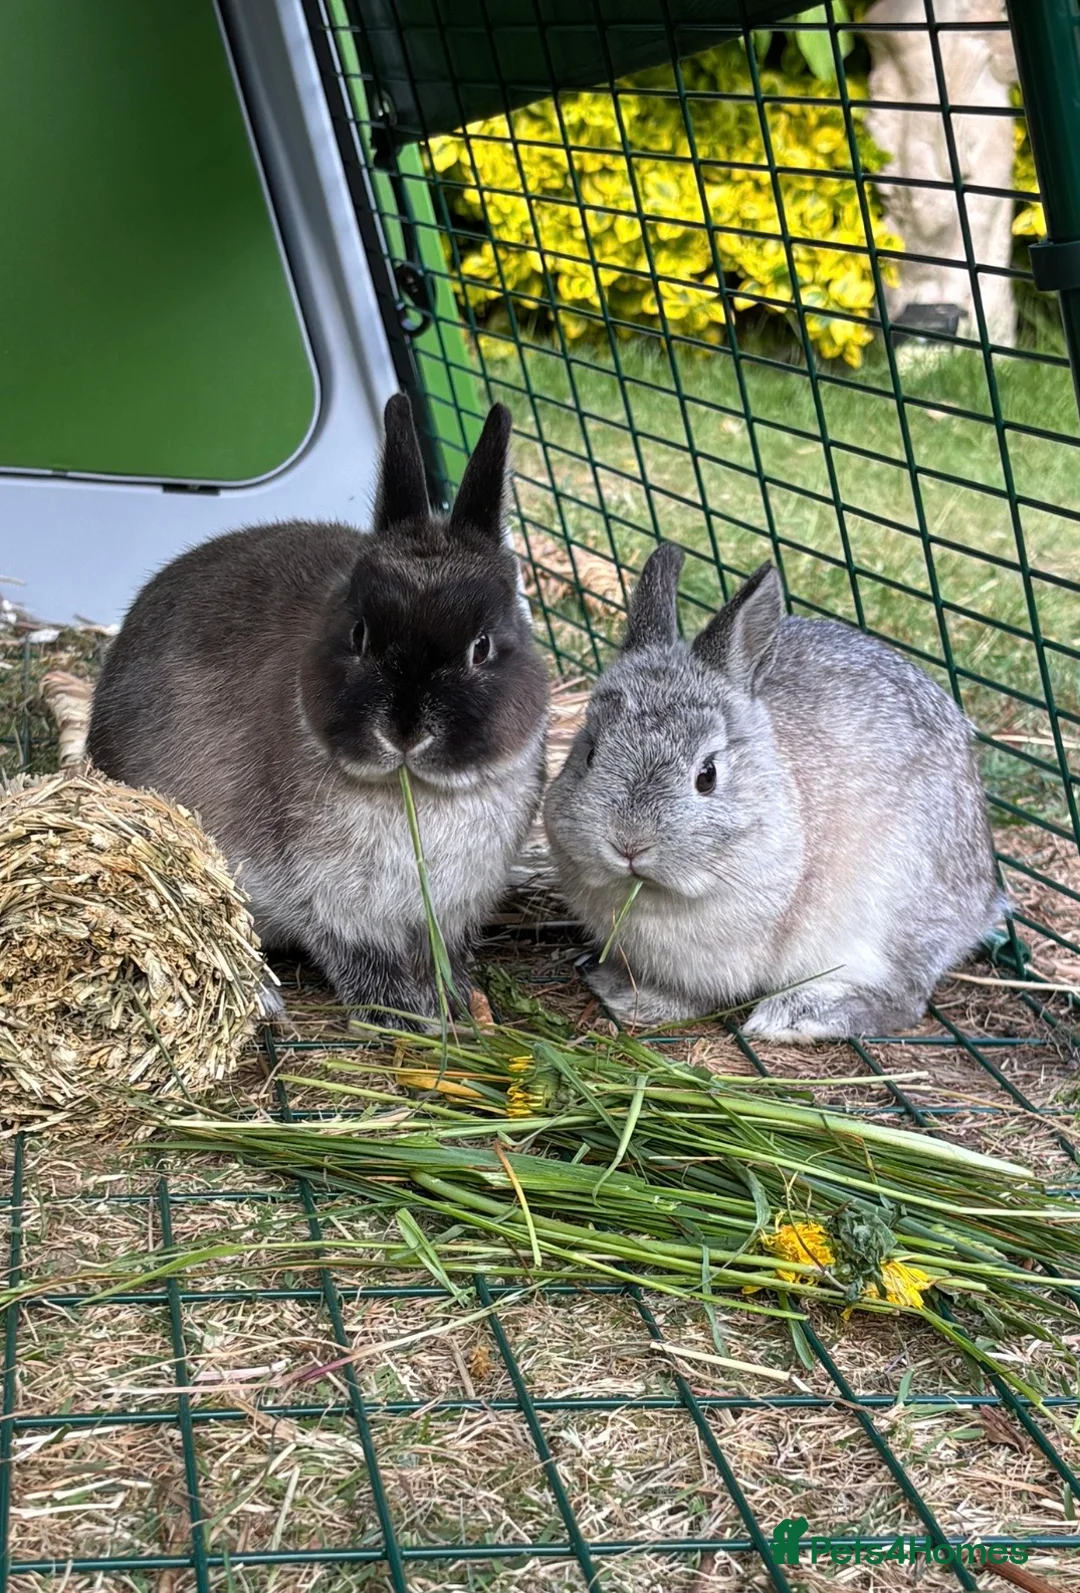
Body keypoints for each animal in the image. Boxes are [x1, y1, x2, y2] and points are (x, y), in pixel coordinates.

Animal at [88, 395, 550, 1025]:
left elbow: (438, 952)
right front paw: (398, 1012)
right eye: (358, 634)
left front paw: (451, 997)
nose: (405, 732)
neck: (414, 790)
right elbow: (354, 954)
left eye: (482, 648)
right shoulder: (327, 899)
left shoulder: (449, 909)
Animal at [543, 544, 1006, 1040]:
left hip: (892, 917)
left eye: (707, 775)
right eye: (590, 753)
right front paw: (625, 994)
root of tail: (982, 903)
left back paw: (797, 1015)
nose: (628, 844)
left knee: (904, 1001)